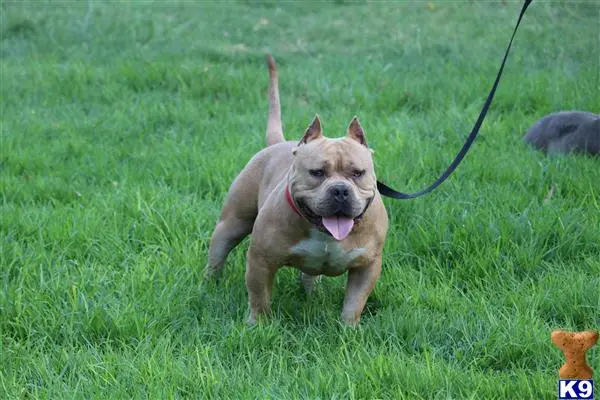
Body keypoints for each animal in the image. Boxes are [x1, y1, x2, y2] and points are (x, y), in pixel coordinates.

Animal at [207, 54, 390, 326]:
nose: (340, 191)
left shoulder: (367, 266)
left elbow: (354, 302)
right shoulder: (261, 260)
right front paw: (257, 325)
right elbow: (259, 297)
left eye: (358, 173)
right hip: (232, 224)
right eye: (317, 173)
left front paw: (349, 328)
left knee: (309, 276)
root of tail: (279, 143)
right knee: (218, 254)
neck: (322, 232)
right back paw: (209, 286)